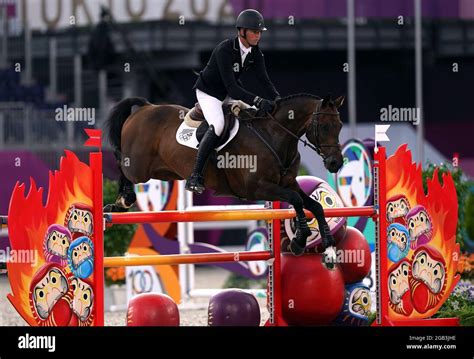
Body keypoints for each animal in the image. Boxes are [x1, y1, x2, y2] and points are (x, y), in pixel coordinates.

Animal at [103, 94, 344, 266]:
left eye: (340, 126)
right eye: (324, 126)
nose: (335, 164)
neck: (274, 136)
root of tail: (146, 107)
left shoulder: (288, 183)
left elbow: (313, 205)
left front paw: (329, 249)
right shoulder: (257, 189)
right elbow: (296, 200)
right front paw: (300, 239)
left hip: (164, 171)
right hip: (138, 168)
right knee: (120, 161)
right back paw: (121, 201)